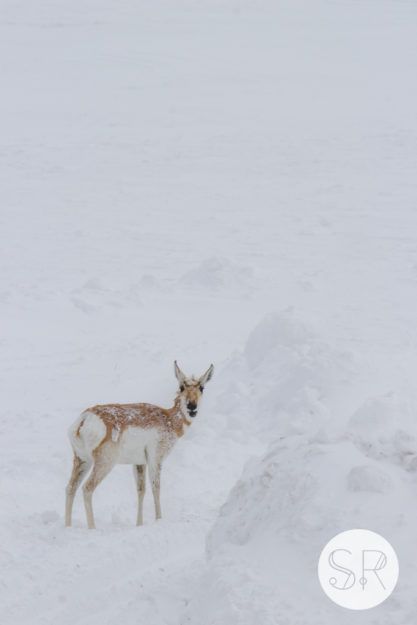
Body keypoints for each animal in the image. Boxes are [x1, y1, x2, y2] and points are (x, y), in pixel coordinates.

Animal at [67, 360, 214, 528]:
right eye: (182, 386)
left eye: (202, 387)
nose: (192, 406)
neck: (169, 419)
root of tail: (85, 418)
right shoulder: (155, 459)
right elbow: (156, 488)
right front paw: (159, 519)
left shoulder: (139, 463)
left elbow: (141, 490)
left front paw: (139, 524)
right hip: (104, 463)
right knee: (87, 488)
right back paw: (92, 528)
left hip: (82, 460)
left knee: (70, 488)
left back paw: (67, 526)